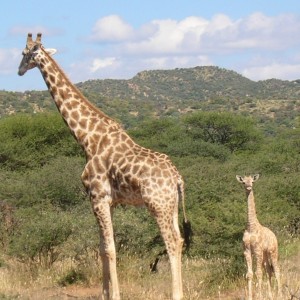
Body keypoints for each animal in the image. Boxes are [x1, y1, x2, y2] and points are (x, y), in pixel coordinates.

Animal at [17, 32, 189, 300]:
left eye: (25, 54)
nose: (19, 71)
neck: (88, 138)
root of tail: (177, 177)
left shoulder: (97, 196)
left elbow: (109, 249)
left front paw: (115, 295)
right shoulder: (109, 201)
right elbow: (101, 248)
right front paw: (104, 293)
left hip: (157, 204)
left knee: (170, 241)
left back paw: (176, 294)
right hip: (170, 205)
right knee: (179, 240)